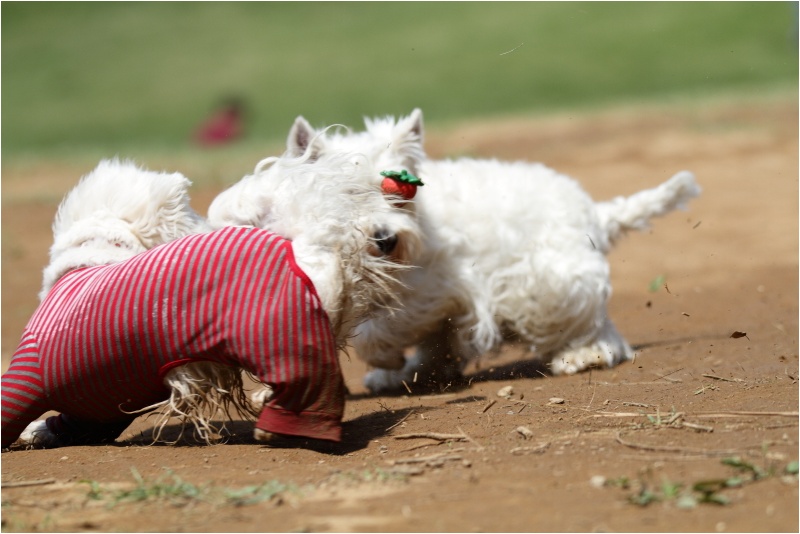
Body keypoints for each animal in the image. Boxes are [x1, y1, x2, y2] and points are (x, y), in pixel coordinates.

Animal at [7, 157, 418, 450]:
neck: (97, 252)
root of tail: (309, 250)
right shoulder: (101, 403)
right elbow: (75, 421)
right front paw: (39, 432)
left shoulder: (32, 368)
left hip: (281, 342)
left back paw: (277, 428)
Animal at [211, 110, 700, 394]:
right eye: (346, 192)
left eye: (399, 190)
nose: (385, 238)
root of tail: (596, 212)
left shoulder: (435, 289)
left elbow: (379, 329)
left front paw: (385, 358)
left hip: (549, 285)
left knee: (602, 332)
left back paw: (582, 355)